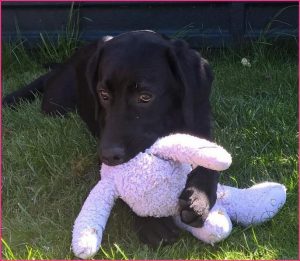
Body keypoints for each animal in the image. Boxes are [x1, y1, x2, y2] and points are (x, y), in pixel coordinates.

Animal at [2, 30, 220, 246]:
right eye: (103, 94)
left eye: (145, 97)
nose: (107, 155)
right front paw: (152, 221)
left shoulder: (200, 123)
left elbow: (210, 163)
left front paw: (199, 197)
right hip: (55, 104)